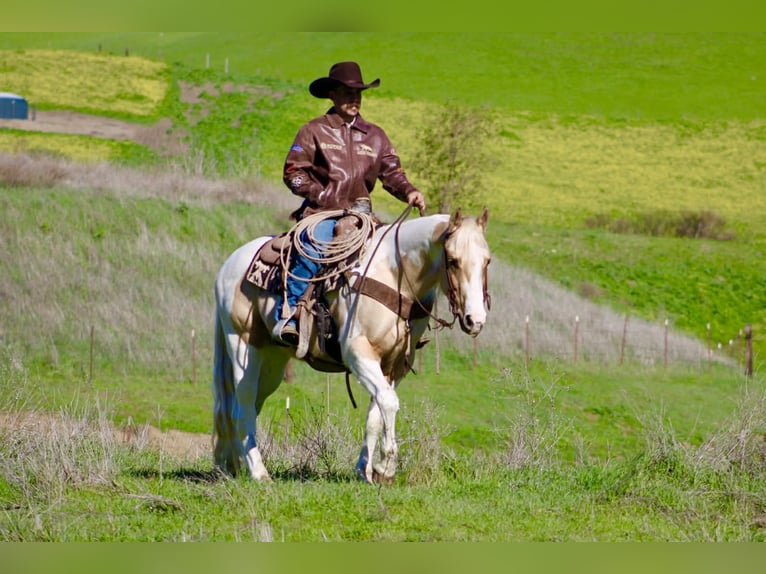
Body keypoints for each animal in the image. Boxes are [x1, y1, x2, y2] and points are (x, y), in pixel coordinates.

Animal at [211, 207, 491, 483]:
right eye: (453, 260)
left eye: (487, 261)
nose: (475, 320)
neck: (394, 275)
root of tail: (228, 265)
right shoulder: (358, 353)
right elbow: (388, 402)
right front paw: (385, 467)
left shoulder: (396, 364)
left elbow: (376, 412)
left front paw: (365, 470)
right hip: (244, 346)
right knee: (243, 404)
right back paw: (259, 473)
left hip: (272, 362)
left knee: (247, 405)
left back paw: (236, 465)